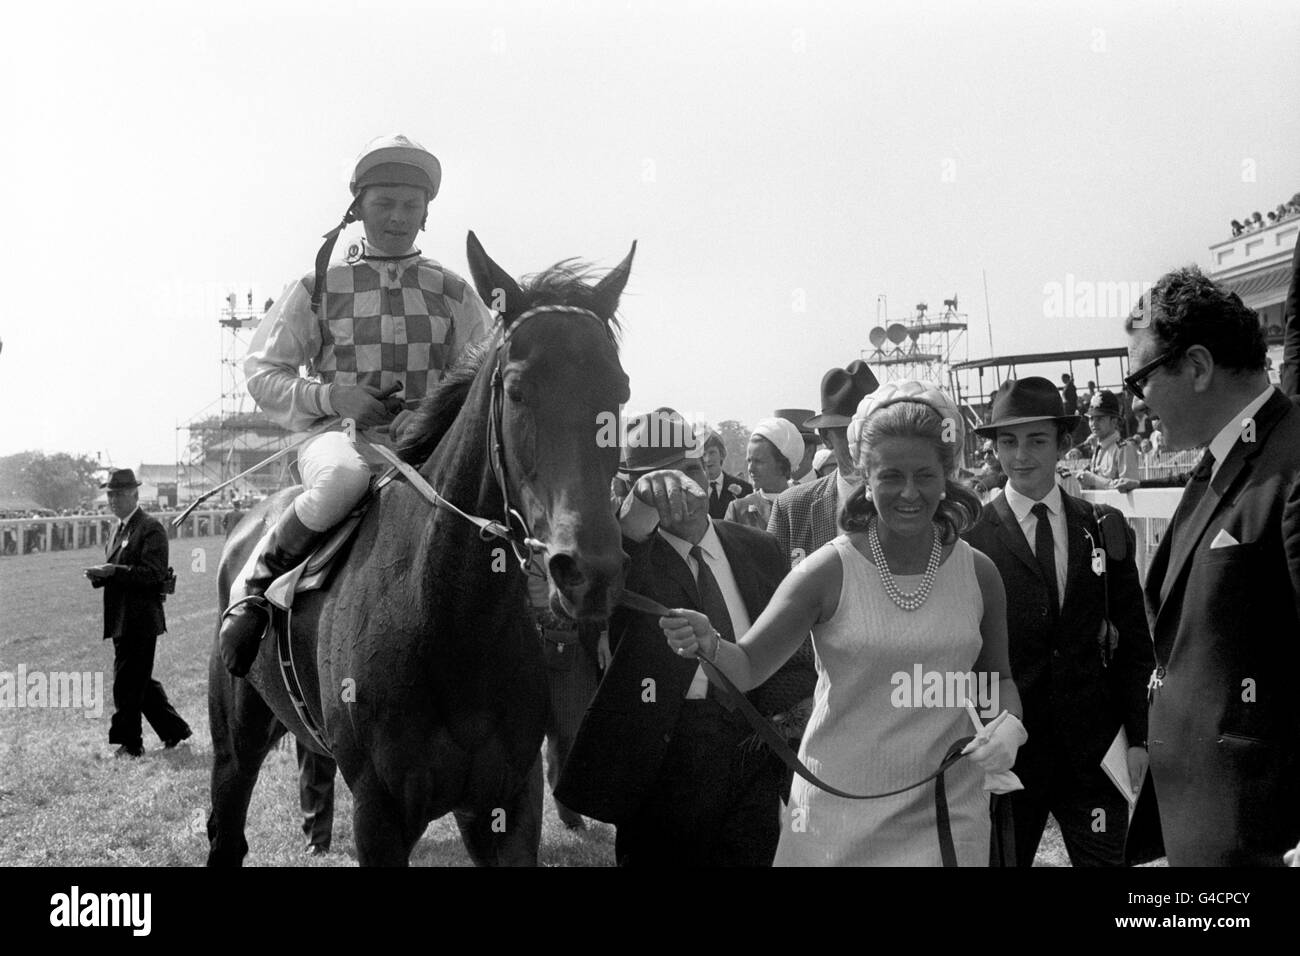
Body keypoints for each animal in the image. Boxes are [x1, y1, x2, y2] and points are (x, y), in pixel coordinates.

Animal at [205, 234, 631, 868]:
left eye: (619, 392)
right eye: (518, 389)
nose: (588, 571)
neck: (450, 621)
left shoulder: (507, 803)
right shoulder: (379, 811)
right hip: (236, 741)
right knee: (226, 832)